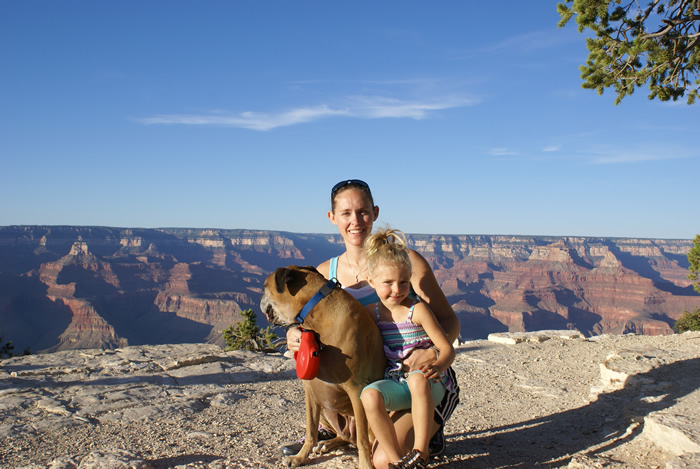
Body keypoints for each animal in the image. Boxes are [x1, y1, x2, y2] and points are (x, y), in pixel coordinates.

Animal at [262, 266, 386, 466]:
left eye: (264, 287)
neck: (315, 311)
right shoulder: (310, 391)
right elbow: (311, 430)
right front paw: (300, 457)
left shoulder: (357, 389)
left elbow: (363, 442)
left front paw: (365, 465)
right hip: (325, 407)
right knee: (343, 436)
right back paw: (327, 443)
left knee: (361, 438)